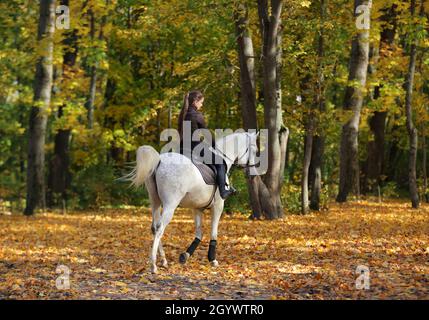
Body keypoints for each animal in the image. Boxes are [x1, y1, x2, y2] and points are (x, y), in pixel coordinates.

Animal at [129, 131, 260, 274]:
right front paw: (212, 259)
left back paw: (163, 261)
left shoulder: (197, 208)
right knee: (159, 229)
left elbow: (198, 233)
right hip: (170, 204)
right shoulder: (218, 206)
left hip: (155, 201)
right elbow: (213, 232)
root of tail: (159, 160)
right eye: (254, 150)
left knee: (154, 227)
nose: (253, 175)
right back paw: (153, 265)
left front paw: (185, 255)